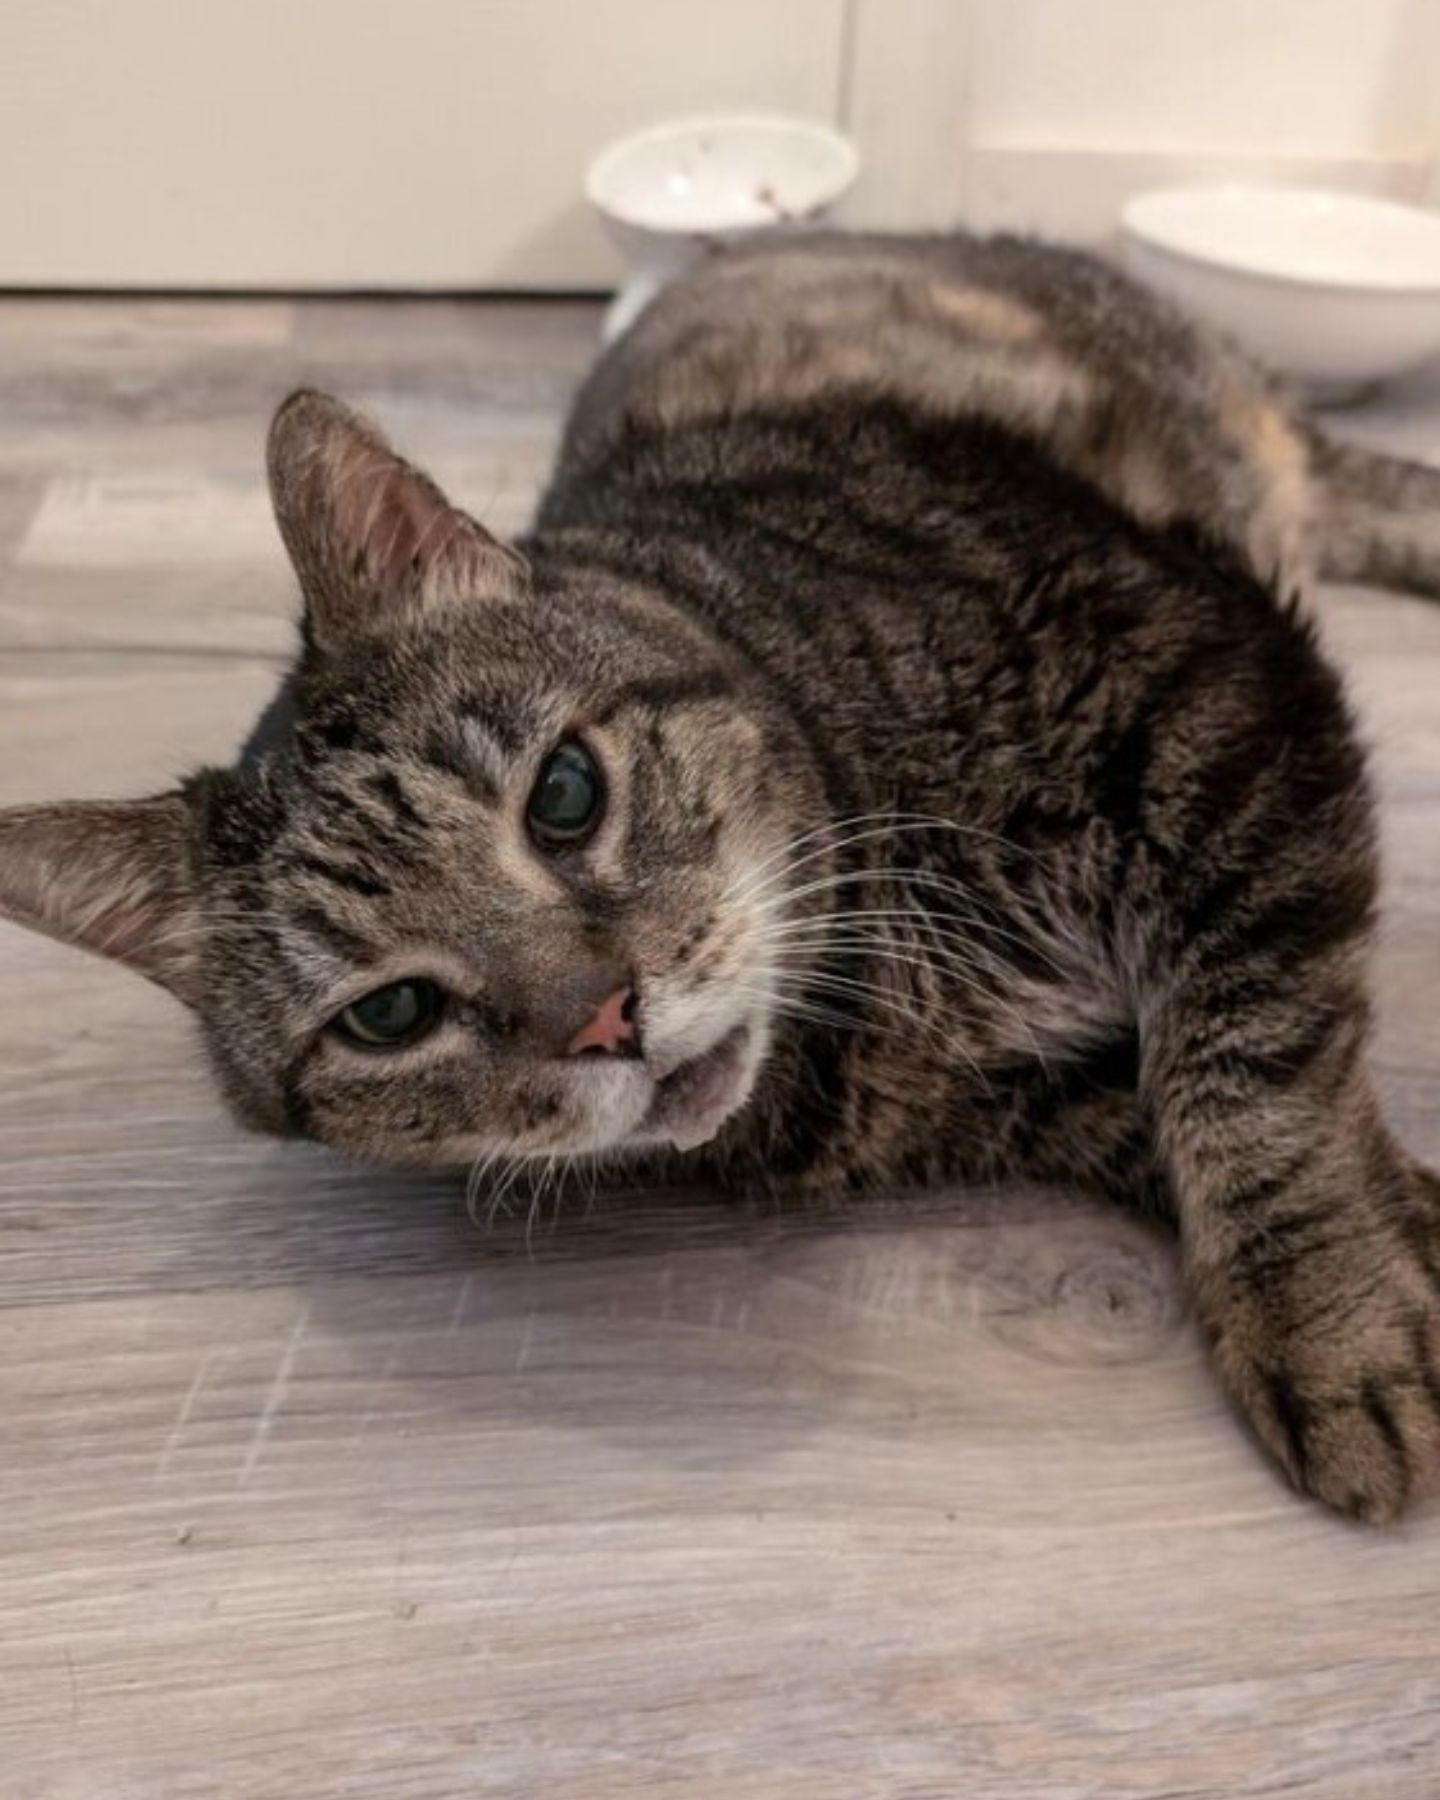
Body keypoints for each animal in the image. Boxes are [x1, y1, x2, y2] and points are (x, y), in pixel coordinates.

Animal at [2, 228, 1440, 1519]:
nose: (605, 1018)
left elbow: (1254, 1075)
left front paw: (1327, 1324)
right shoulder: (1023, 1101)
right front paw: (1397, 1252)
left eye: (565, 795)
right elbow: (1207, 1101)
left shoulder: (1215, 683)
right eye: (390, 1014)